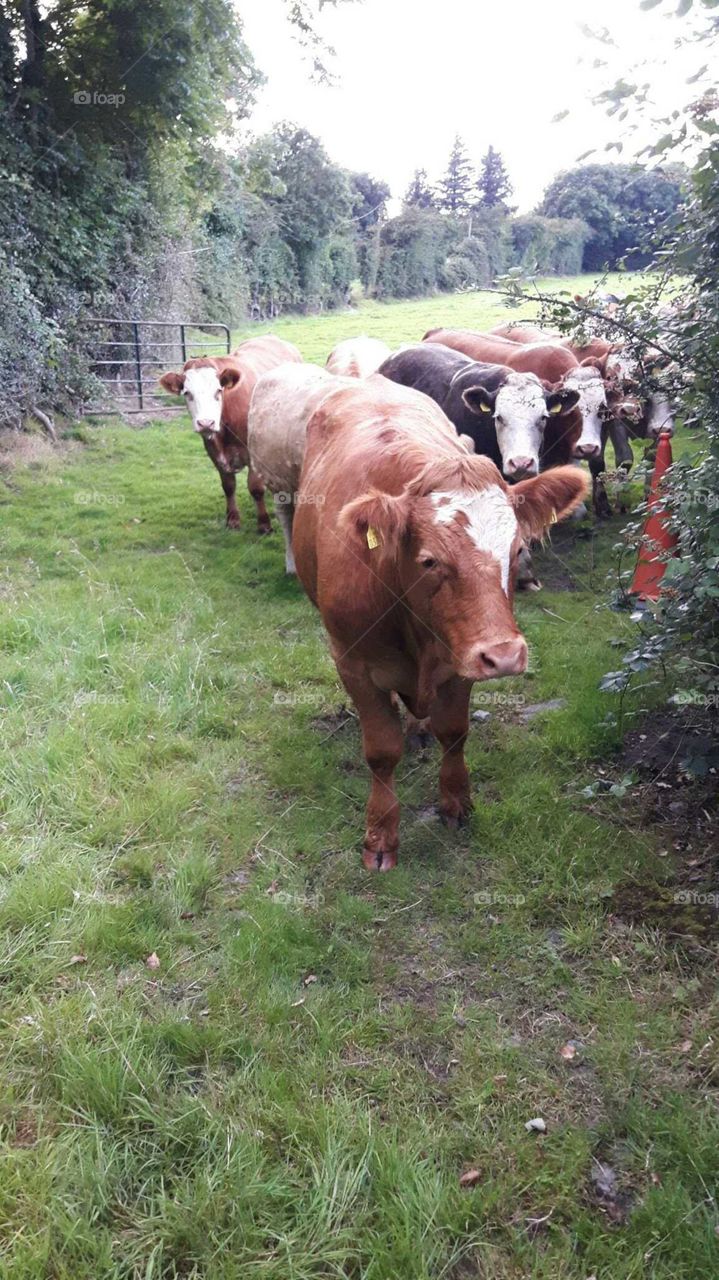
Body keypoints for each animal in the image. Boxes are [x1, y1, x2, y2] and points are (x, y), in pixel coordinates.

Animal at [159, 335, 302, 532]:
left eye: (218, 391)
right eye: (187, 393)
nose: (206, 423)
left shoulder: (253, 453)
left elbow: (255, 488)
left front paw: (264, 523)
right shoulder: (214, 452)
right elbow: (228, 486)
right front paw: (232, 518)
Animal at [293, 376, 588, 870]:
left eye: (517, 551)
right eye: (430, 561)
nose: (505, 655)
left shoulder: (462, 656)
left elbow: (454, 731)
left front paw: (456, 803)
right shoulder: (353, 663)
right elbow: (381, 750)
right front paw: (380, 837)